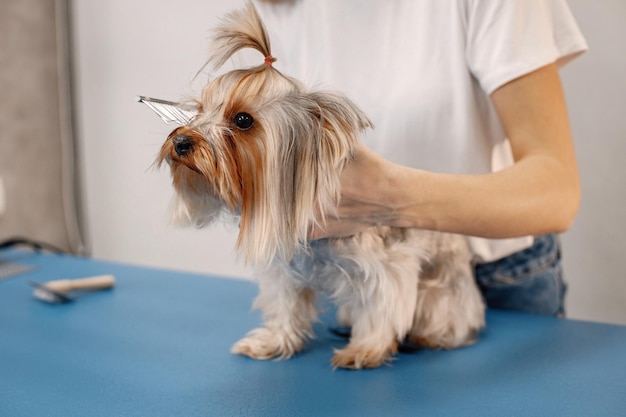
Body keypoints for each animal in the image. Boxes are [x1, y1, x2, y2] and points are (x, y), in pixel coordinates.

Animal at [157, 2, 482, 368]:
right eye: (198, 110)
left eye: (242, 120)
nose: (180, 142)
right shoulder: (284, 267)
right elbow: (284, 305)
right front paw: (273, 342)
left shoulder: (384, 266)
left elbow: (380, 307)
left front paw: (365, 350)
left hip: (445, 286)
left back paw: (433, 335)